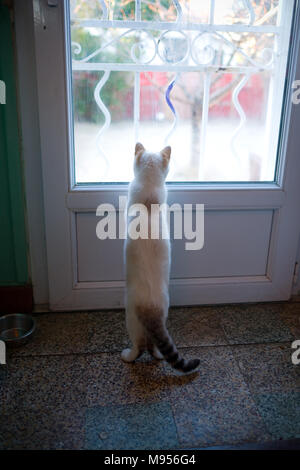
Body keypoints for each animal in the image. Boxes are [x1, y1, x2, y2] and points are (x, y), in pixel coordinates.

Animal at [120, 141, 200, 372]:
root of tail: (151, 309)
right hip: (164, 312)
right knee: (156, 347)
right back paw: (159, 357)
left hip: (131, 320)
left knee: (139, 347)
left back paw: (126, 356)